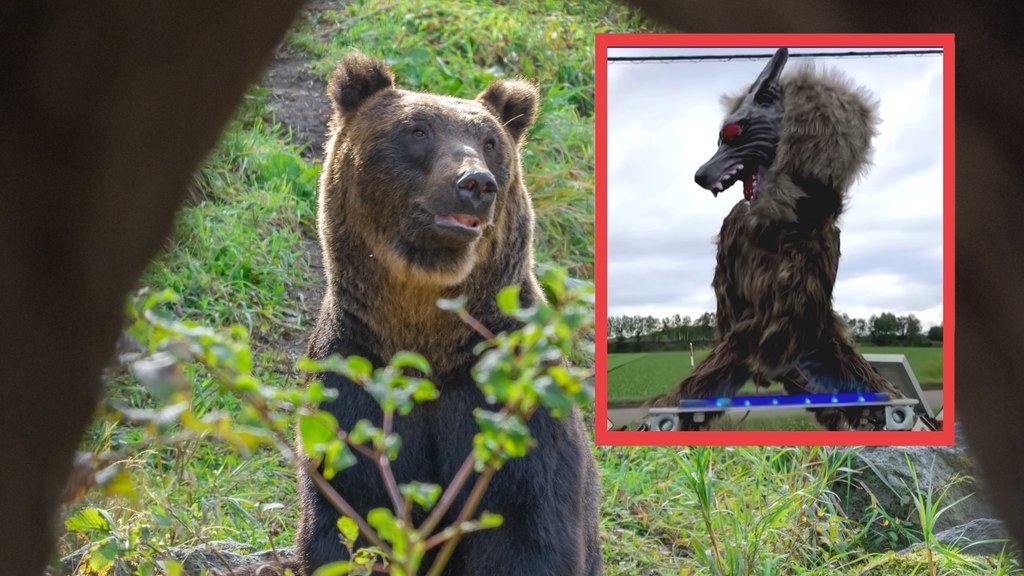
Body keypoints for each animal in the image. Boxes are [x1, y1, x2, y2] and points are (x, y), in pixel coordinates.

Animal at [264, 52, 602, 573]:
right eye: (417, 130)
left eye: (489, 141)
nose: (475, 183)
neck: (428, 337)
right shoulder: (357, 375)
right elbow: (349, 517)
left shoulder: (510, 397)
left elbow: (526, 529)